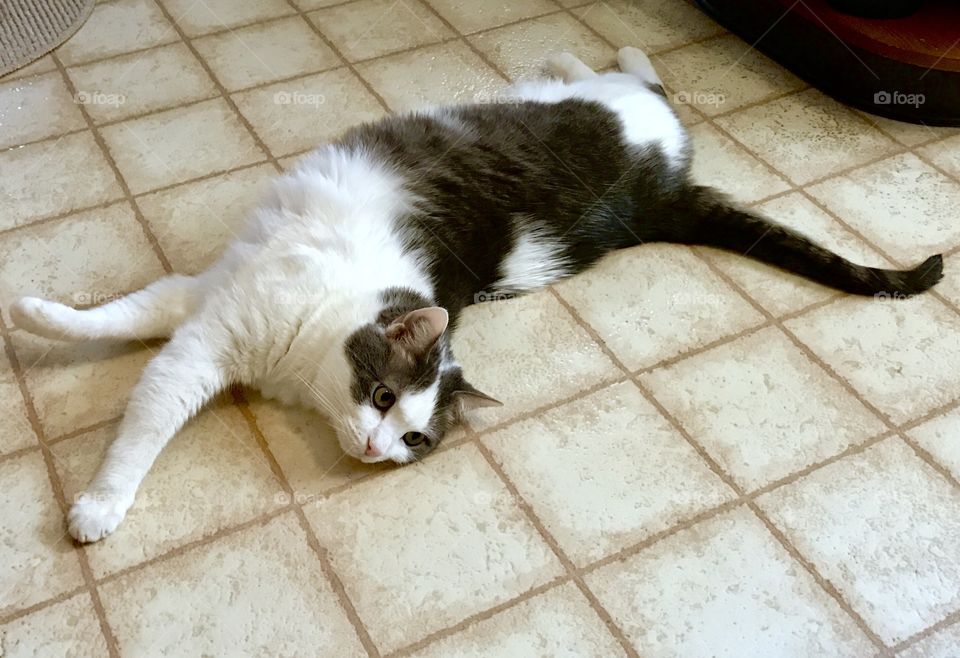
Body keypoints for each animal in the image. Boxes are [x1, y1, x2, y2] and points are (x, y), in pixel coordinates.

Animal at [9, 44, 936, 540]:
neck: (301, 351)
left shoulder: (208, 329)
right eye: (383, 397)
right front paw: (33, 318)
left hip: (618, 116)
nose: (378, 449)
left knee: (646, 82)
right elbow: (124, 335)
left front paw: (96, 502)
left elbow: (143, 391)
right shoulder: (214, 303)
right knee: (640, 81)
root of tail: (656, 194)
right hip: (597, 110)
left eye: (414, 437)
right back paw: (586, 54)